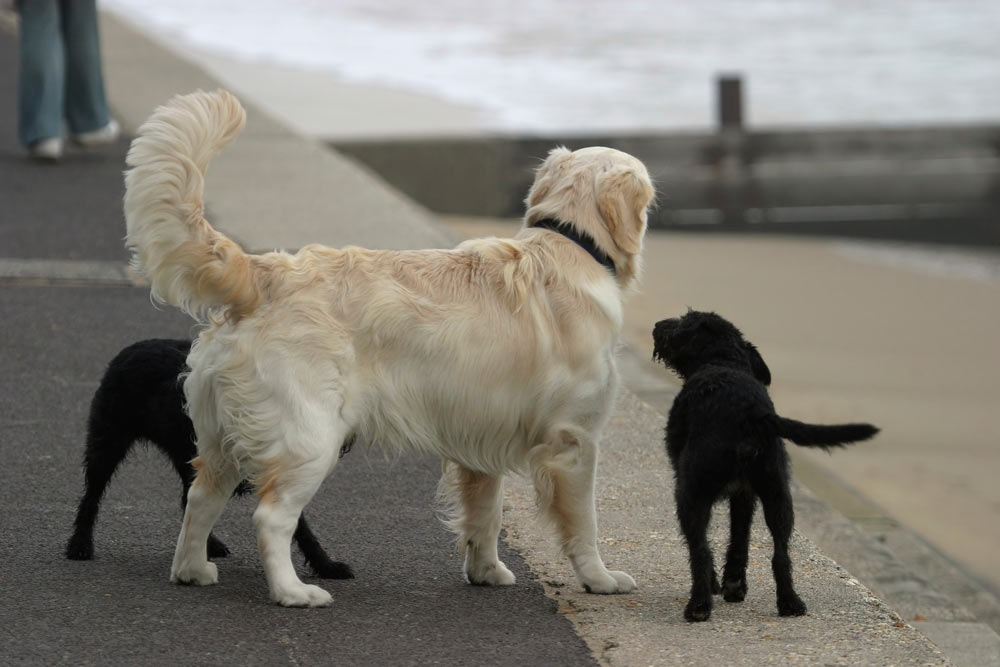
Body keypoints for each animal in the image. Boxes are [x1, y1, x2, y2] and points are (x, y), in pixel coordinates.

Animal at [66, 340, 356, 580]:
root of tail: (128, 350)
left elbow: (301, 529)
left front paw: (326, 565)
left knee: (188, 499)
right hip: (107, 443)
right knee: (91, 496)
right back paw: (80, 544)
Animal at [648, 312, 876, 620]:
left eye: (684, 319)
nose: (657, 325)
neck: (723, 361)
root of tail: (751, 414)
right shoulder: (745, 494)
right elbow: (739, 537)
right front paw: (734, 584)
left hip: (690, 493)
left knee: (700, 548)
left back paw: (699, 604)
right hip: (777, 493)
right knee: (781, 553)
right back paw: (790, 602)